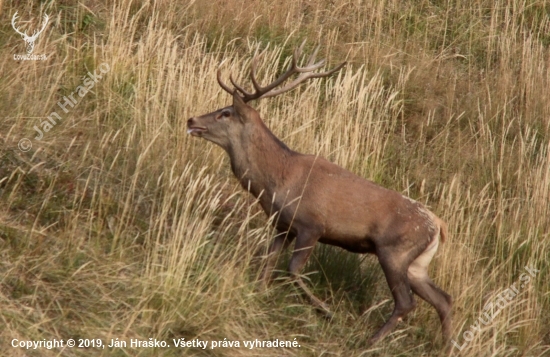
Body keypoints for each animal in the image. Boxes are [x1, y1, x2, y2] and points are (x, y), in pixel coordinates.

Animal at [188, 42, 454, 344]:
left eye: (225, 113)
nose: (192, 119)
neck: (278, 181)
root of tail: (438, 225)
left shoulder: (311, 224)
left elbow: (292, 270)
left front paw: (326, 311)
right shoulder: (283, 225)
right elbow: (267, 264)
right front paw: (259, 293)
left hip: (394, 250)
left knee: (406, 302)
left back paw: (370, 341)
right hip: (417, 263)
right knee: (444, 299)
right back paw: (447, 345)